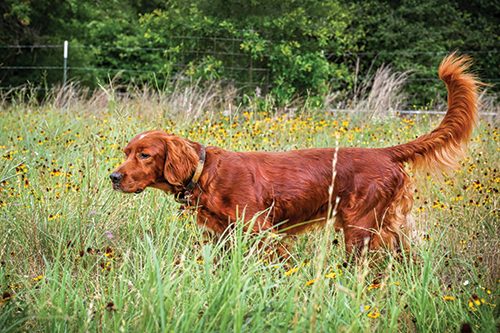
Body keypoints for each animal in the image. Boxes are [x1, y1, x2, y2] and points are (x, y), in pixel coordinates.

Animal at [110, 53, 480, 256]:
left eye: (144, 155)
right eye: (127, 152)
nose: (113, 177)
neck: (205, 173)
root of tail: (384, 153)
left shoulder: (262, 231)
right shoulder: (223, 236)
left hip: (360, 227)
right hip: (390, 227)